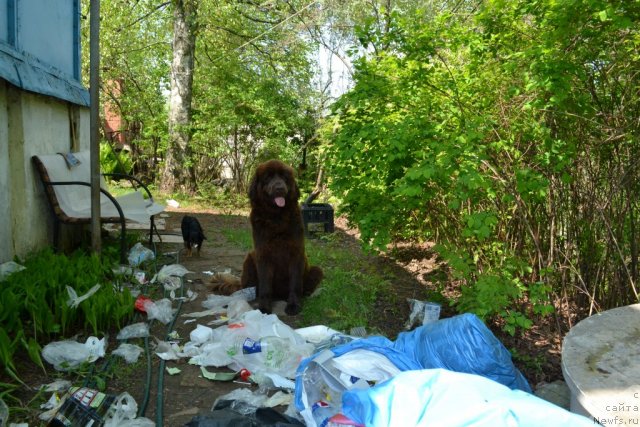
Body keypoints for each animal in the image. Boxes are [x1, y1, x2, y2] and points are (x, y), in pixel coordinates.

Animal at [240, 159, 322, 316]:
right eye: (268, 177)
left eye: (284, 177)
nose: (279, 188)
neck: (276, 218)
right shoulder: (263, 255)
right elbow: (265, 285)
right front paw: (264, 307)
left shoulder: (296, 254)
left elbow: (295, 284)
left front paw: (294, 305)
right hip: (249, 260)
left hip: (316, 270)